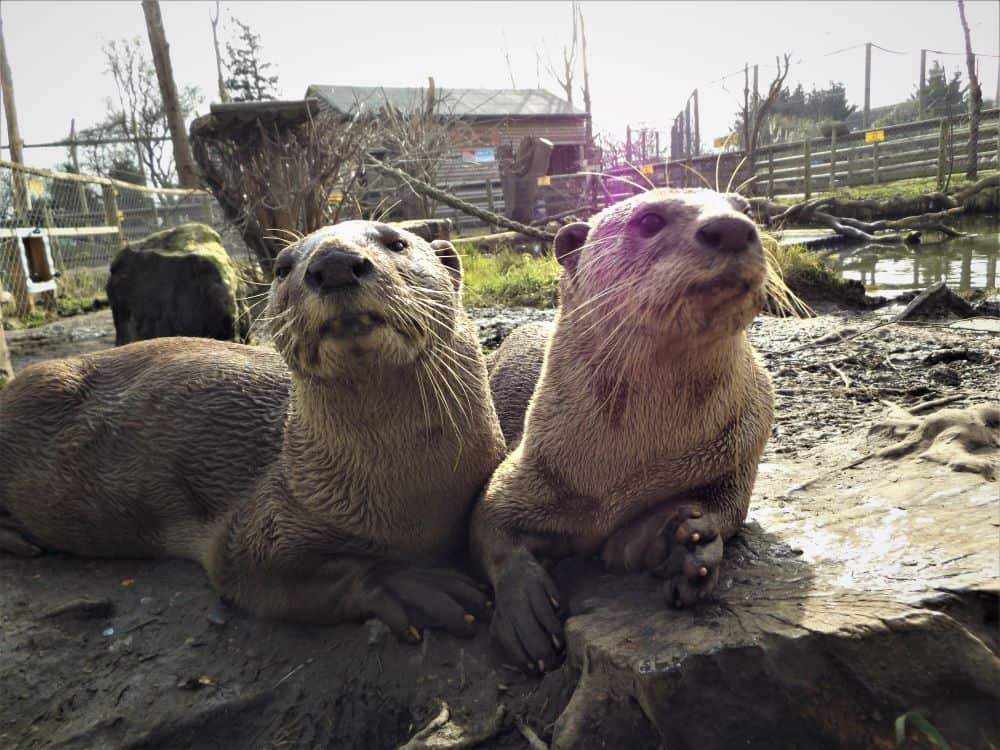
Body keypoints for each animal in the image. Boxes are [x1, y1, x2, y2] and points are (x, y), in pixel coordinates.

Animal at [0, 221, 507, 642]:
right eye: (283, 267)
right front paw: (411, 585)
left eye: (397, 242)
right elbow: (252, 567)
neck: (409, 499)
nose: (333, 264)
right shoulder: (264, 517)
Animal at [471, 189, 775, 672]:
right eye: (649, 220)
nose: (730, 228)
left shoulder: (742, 448)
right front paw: (525, 610)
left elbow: (729, 511)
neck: (623, 474)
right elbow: (488, 523)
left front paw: (687, 543)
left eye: (745, 209)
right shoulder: (527, 469)